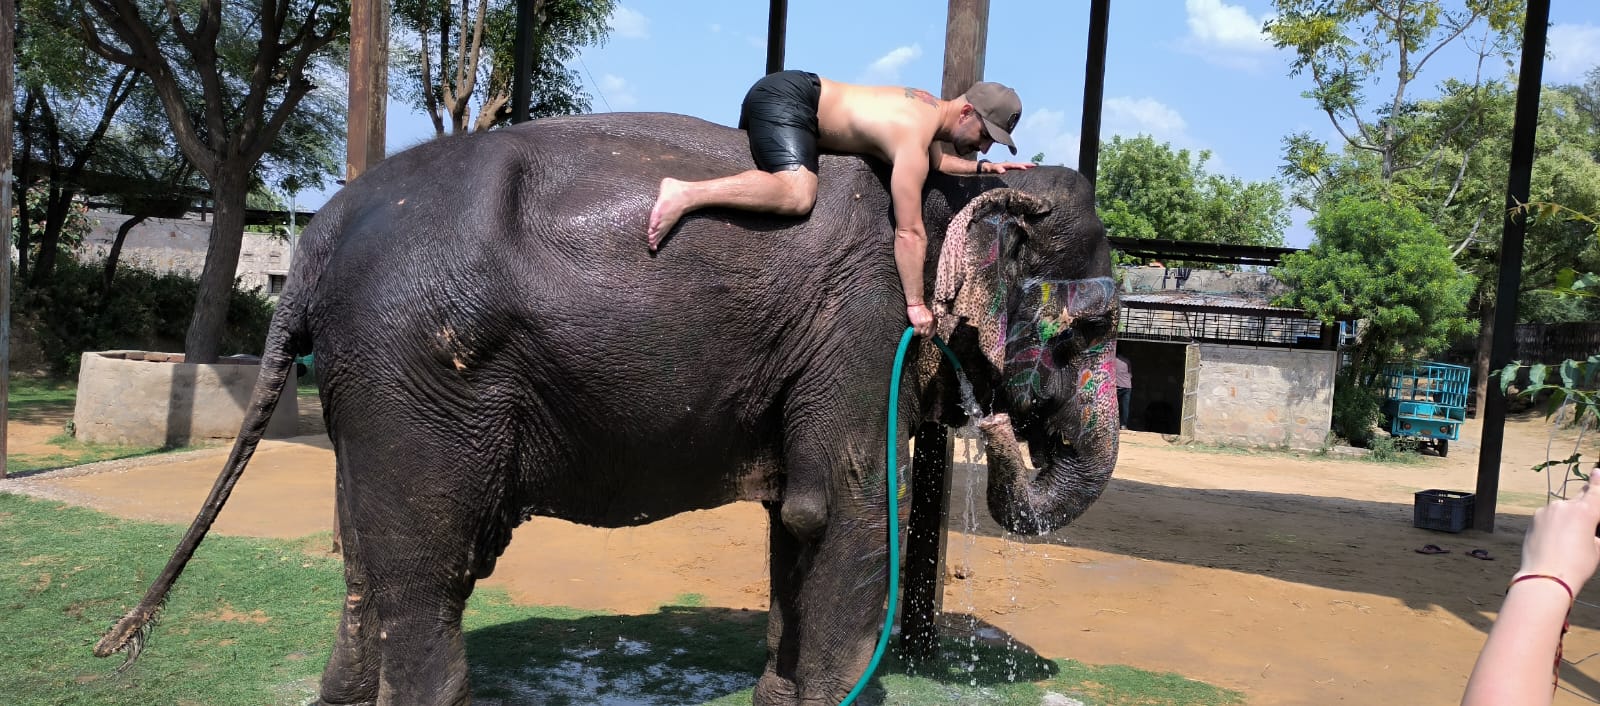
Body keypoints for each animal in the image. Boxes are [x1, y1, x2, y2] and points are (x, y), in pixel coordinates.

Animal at [95, 111, 1121, 705]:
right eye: (1096, 326)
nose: (1003, 435)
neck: (962, 190)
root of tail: (312, 245)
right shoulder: (866, 319)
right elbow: (846, 511)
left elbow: (797, 521)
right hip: (415, 376)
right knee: (426, 563)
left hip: (365, 386)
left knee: (367, 562)